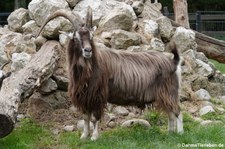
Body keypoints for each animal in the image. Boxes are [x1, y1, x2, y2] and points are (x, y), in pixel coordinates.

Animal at [37, 6, 184, 140]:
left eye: (91, 37)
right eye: (76, 37)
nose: (88, 50)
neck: (90, 68)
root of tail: (173, 62)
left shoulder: (97, 95)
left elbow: (94, 118)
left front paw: (94, 137)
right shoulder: (85, 97)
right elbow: (85, 117)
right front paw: (84, 136)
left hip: (170, 92)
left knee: (177, 111)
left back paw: (180, 134)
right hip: (164, 94)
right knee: (171, 113)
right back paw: (170, 133)